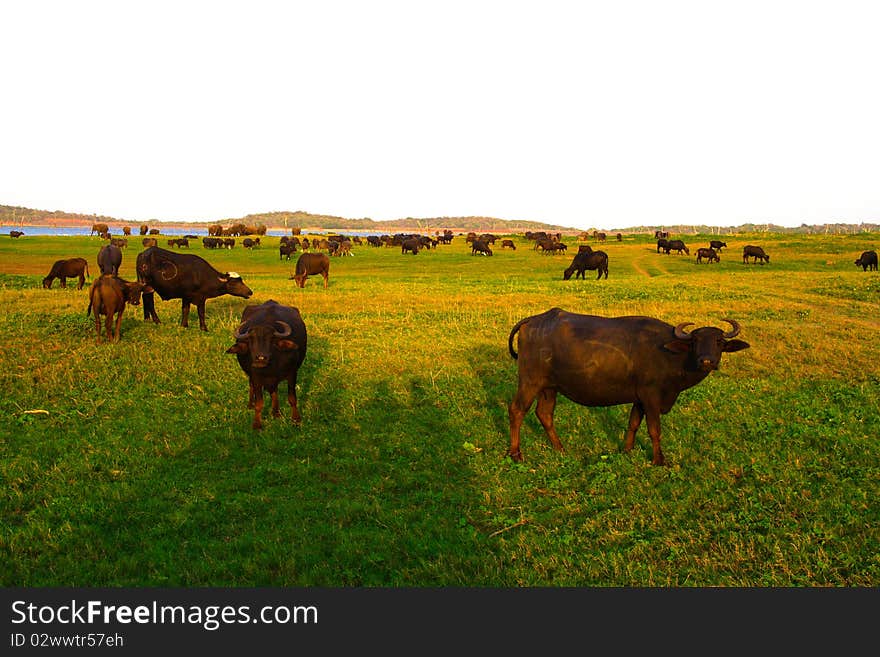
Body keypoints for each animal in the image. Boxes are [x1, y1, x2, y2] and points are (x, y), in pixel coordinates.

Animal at [225, 298, 308, 430]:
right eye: (250, 340)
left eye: (271, 339)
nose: (261, 358)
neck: (271, 368)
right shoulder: (256, 377)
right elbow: (259, 402)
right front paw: (257, 424)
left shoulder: (292, 373)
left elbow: (292, 398)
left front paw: (296, 419)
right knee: (252, 387)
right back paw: (251, 404)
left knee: (274, 391)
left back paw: (276, 413)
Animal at [508, 308, 748, 466]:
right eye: (695, 341)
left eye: (719, 341)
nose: (706, 361)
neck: (671, 355)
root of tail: (533, 321)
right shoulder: (651, 396)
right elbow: (654, 430)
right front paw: (659, 460)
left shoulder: (639, 399)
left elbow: (633, 424)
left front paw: (627, 450)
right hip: (530, 381)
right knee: (517, 410)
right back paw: (516, 453)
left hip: (549, 387)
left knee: (544, 414)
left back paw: (560, 448)